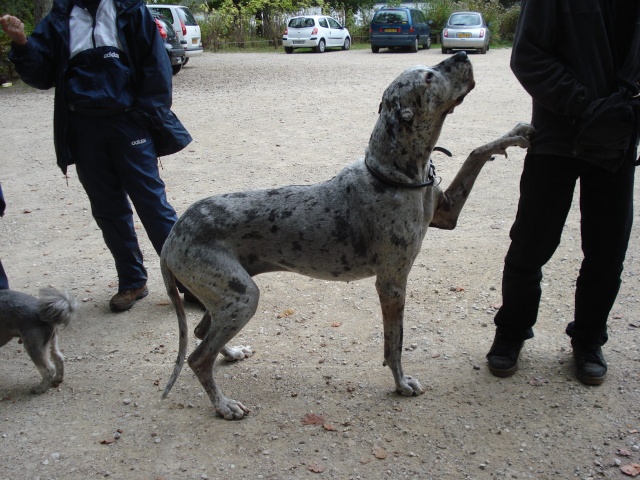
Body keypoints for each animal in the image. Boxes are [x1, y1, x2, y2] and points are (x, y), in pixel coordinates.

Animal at [160, 51, 536, 420]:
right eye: (428, 77)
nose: (461, 53)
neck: (395, 174)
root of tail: (172, 236)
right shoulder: (392, 284)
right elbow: (394, 343)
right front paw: (401, 384)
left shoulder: (448, 214)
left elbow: (476, 152)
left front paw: (516, 134)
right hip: (242, 297)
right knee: (197, 357)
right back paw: (224, 405)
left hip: (229, 295)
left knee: (200, 333)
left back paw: (231, 353)